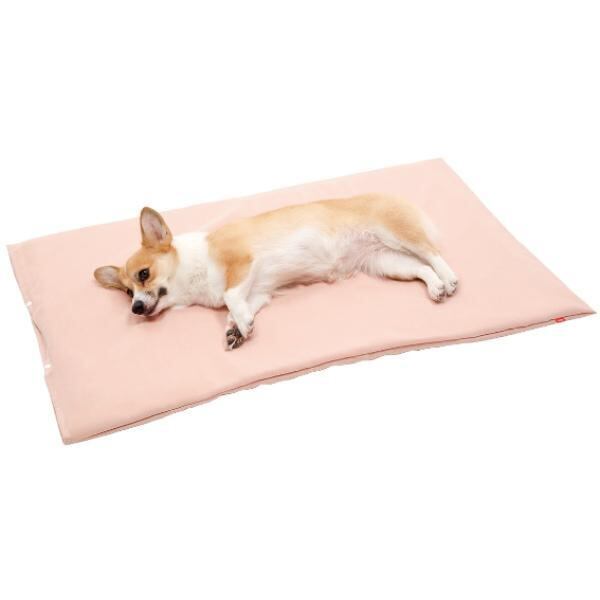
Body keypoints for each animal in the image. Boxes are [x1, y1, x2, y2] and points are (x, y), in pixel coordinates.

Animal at [94, 194, 458, 350]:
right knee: (422, 267)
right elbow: (240, 307)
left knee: (433, 254)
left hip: (398, 235)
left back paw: (450, 278)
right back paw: (435, 287)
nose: (135, 308)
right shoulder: (258, 292)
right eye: (126, 292)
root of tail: (389, 193)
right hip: (387, 263)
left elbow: (230, 295)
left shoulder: (242, 264)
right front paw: (237, 329)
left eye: (143, 274)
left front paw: (240, 324)